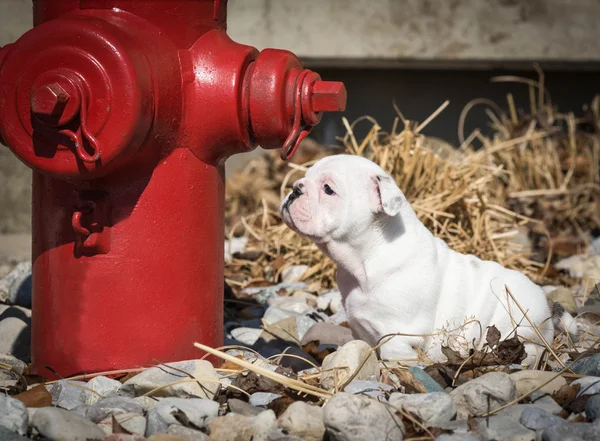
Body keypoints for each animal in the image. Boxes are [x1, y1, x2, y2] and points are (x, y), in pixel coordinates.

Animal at [282, 153, 576, 366]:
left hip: (522, 332)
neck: (365, 260)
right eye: (304, 178)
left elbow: (394, 360)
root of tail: (548, 303)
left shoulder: (398, 336)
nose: (294, 189)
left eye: (328, 189)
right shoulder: (362, 328)